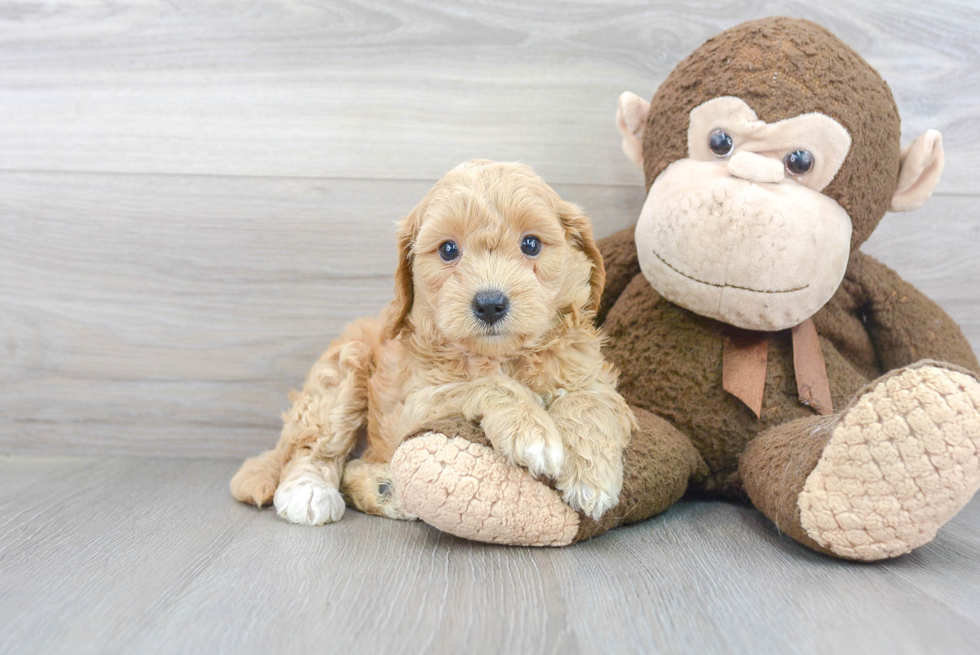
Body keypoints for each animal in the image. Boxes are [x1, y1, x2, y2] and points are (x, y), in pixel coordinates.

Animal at [230, 161, 636, 524]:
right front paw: (531, 431)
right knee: (313, 449)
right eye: (448, 250)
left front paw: (593, 478)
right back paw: (310, 492)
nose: (490, 304)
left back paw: (384, 488)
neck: (502, 356)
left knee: (355, 465)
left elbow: (586, 402)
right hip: (343, 371)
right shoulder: (414, 403)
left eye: (531, 244)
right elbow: (484, 385)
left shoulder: (595, 379)